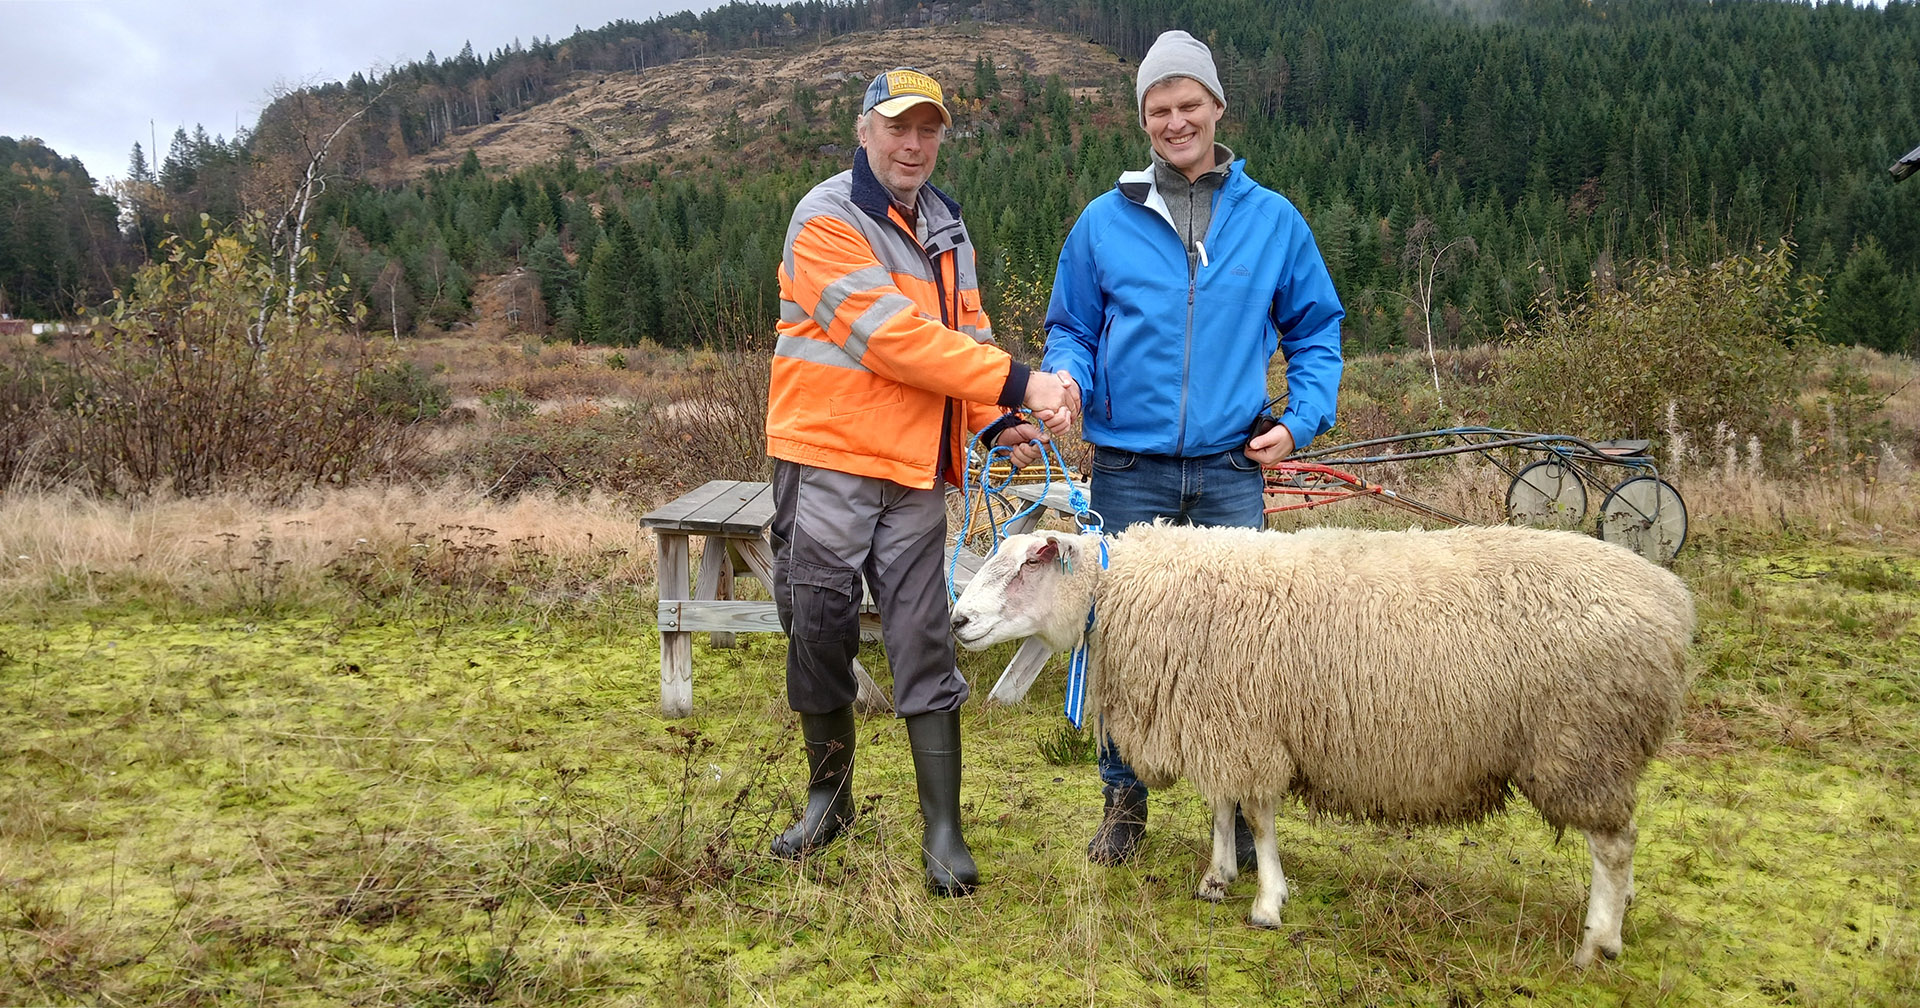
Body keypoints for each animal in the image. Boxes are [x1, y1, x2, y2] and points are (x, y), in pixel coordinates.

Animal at [952, 522, 1689, 963]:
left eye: (1024, 568)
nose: (957, 619)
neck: (1120, 594)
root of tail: (1674, 601)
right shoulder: (1224, 722)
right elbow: (1222, 806)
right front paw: (1218, 877)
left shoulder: (1249, 726)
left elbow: (1258, 815)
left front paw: (1267, 901)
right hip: (1597, 749)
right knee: (1620, 841)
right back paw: (1615, 918)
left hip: (1584, 744)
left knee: (1613, 846)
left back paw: (1599, 942)